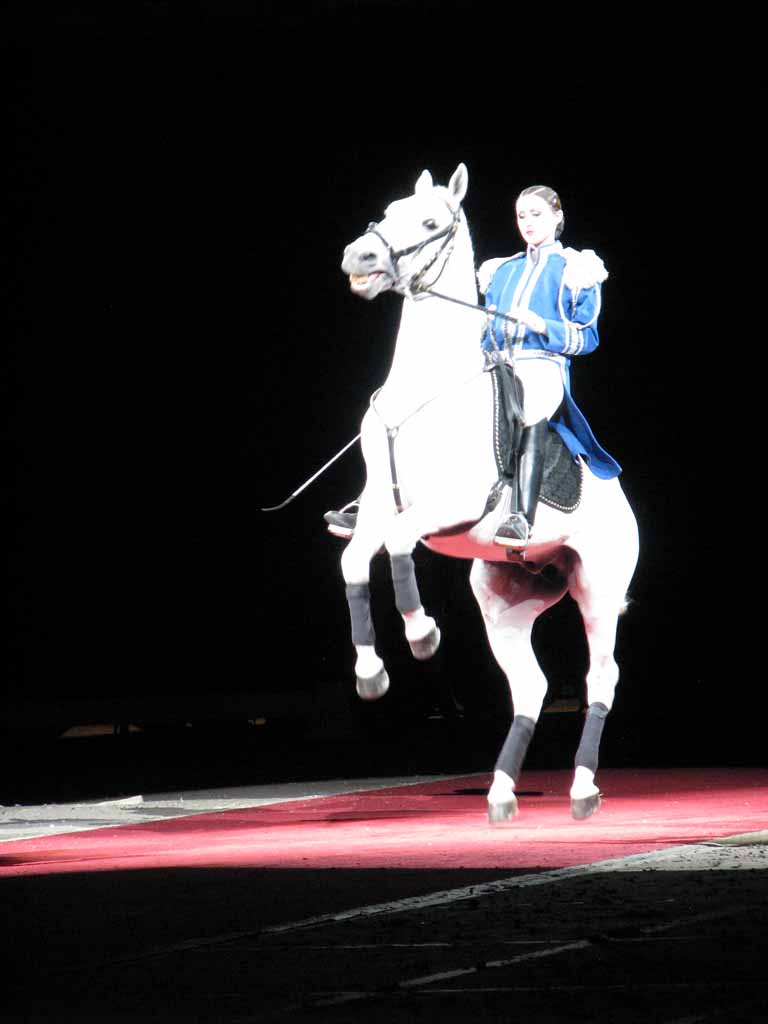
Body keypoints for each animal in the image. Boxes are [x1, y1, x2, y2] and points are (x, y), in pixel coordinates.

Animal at [339, 163, 638, 819]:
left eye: (431, 221)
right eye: (388, 210)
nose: (359, 255)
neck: (424, 389)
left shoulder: (451, 507)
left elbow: (399, 545)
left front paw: (422, 634)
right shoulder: (377, 508)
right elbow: (354, 560)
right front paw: (371, 672)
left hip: (599, 591)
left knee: (600, 680)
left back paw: (584, 788)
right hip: (506, 598)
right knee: (531, 687)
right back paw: (501, 792)